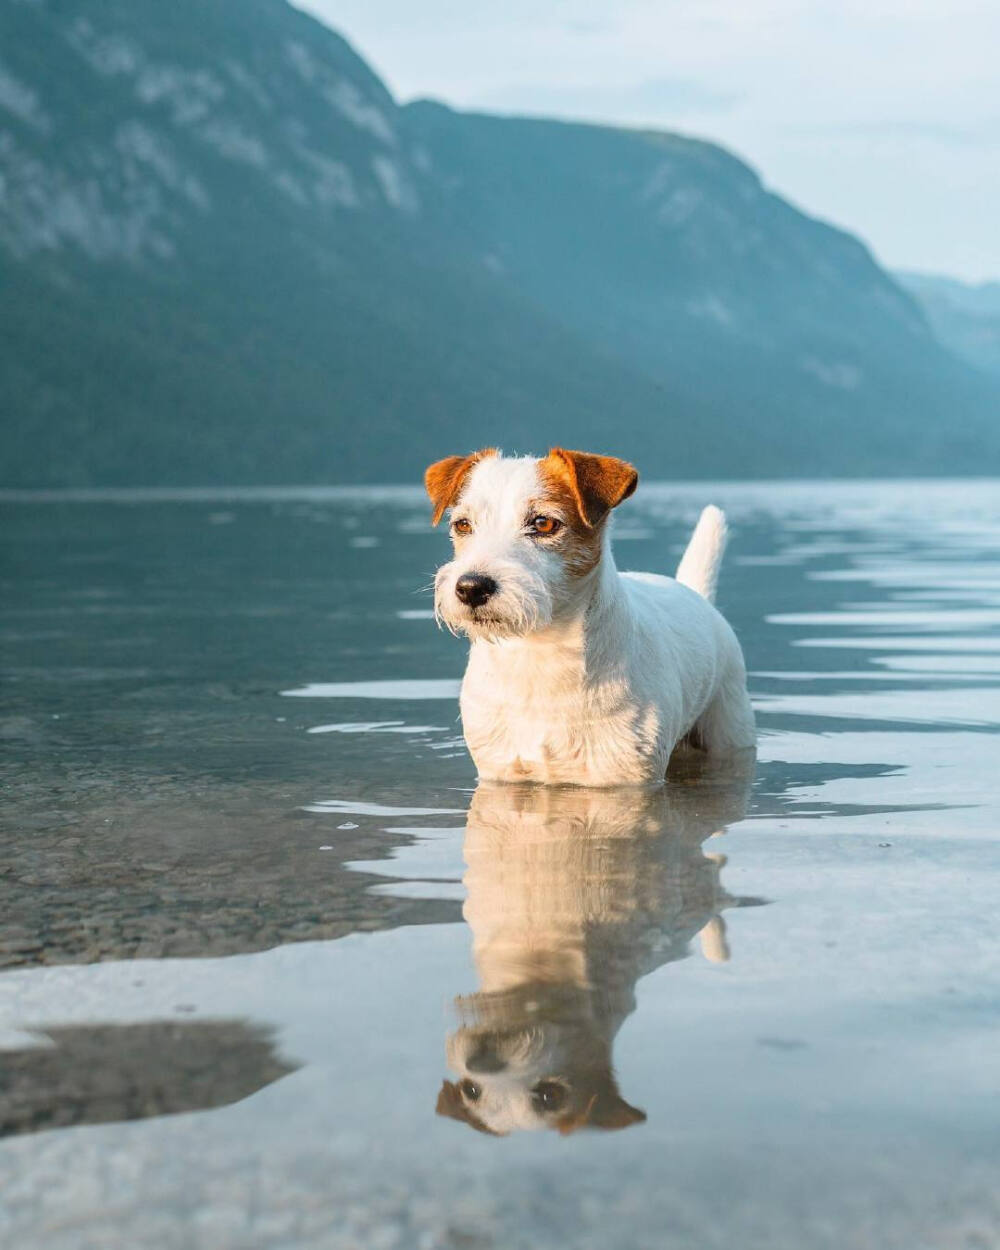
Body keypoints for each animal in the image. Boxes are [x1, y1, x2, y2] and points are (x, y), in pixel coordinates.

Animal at [425, 447, 760, 780]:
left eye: (543, 523)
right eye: (463, 524)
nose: (471, 587)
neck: (540, 652)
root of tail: (693, 592)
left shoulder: (628, 779)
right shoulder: (500, 771)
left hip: (730, 732)